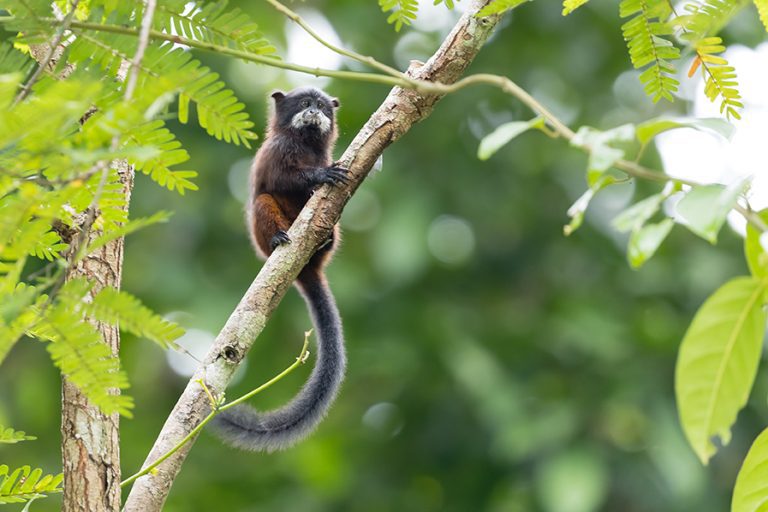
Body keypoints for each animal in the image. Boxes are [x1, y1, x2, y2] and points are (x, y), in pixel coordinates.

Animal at [213, 87, 352, 452]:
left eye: (321, 106)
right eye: (304, 104)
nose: (314, 111)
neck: (305, 143)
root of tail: (307, 268)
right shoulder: (279, 150)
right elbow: (281, 178)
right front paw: (320, 176)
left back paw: (324, 240)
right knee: (264, 201)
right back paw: (279, 238)